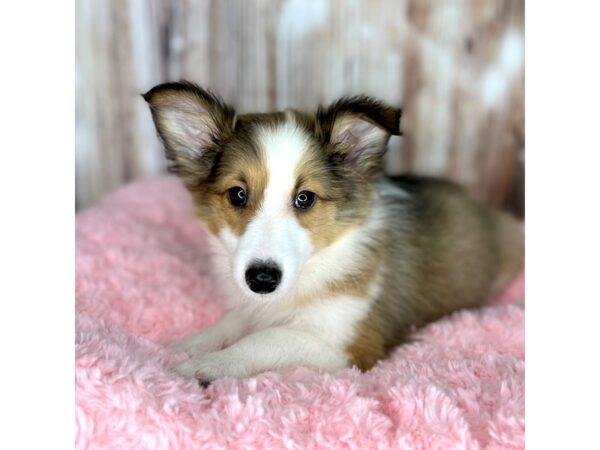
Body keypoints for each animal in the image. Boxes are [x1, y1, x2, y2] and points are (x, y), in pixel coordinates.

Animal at [143, 81, 524, 384]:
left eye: (305, 198)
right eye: (237, 194)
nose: (262, 280)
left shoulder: (346, 344)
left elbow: (265, 339)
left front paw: (210, 364)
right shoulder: (256, 304)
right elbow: (235, 320)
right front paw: (191, 343)